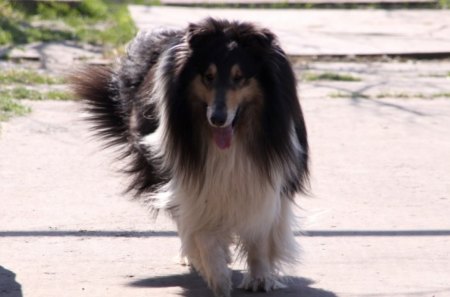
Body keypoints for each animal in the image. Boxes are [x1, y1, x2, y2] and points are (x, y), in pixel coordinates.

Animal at [70, 17, 310, 296]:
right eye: (208, 76)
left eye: (239, 77)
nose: (217, 119)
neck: (234, 141)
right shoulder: (191, 180)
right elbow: (200, 230)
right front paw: (218, 277)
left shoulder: (268, 177)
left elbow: (259, 230)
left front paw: (260, 278)